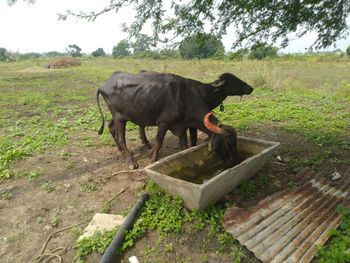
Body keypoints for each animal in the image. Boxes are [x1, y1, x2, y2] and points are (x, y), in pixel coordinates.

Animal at [97, 71, 253, 169]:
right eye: (228, 143)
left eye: (235, 142)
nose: (233, 162)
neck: (185, 98)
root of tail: (104, 85)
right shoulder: (164, 123)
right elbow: (158, 143)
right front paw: (152, 161)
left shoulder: (183, 126)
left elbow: (185, 146)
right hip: (119, 117)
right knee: (121, 138)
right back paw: (131, 161)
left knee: (112, 127)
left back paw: (121, 150)